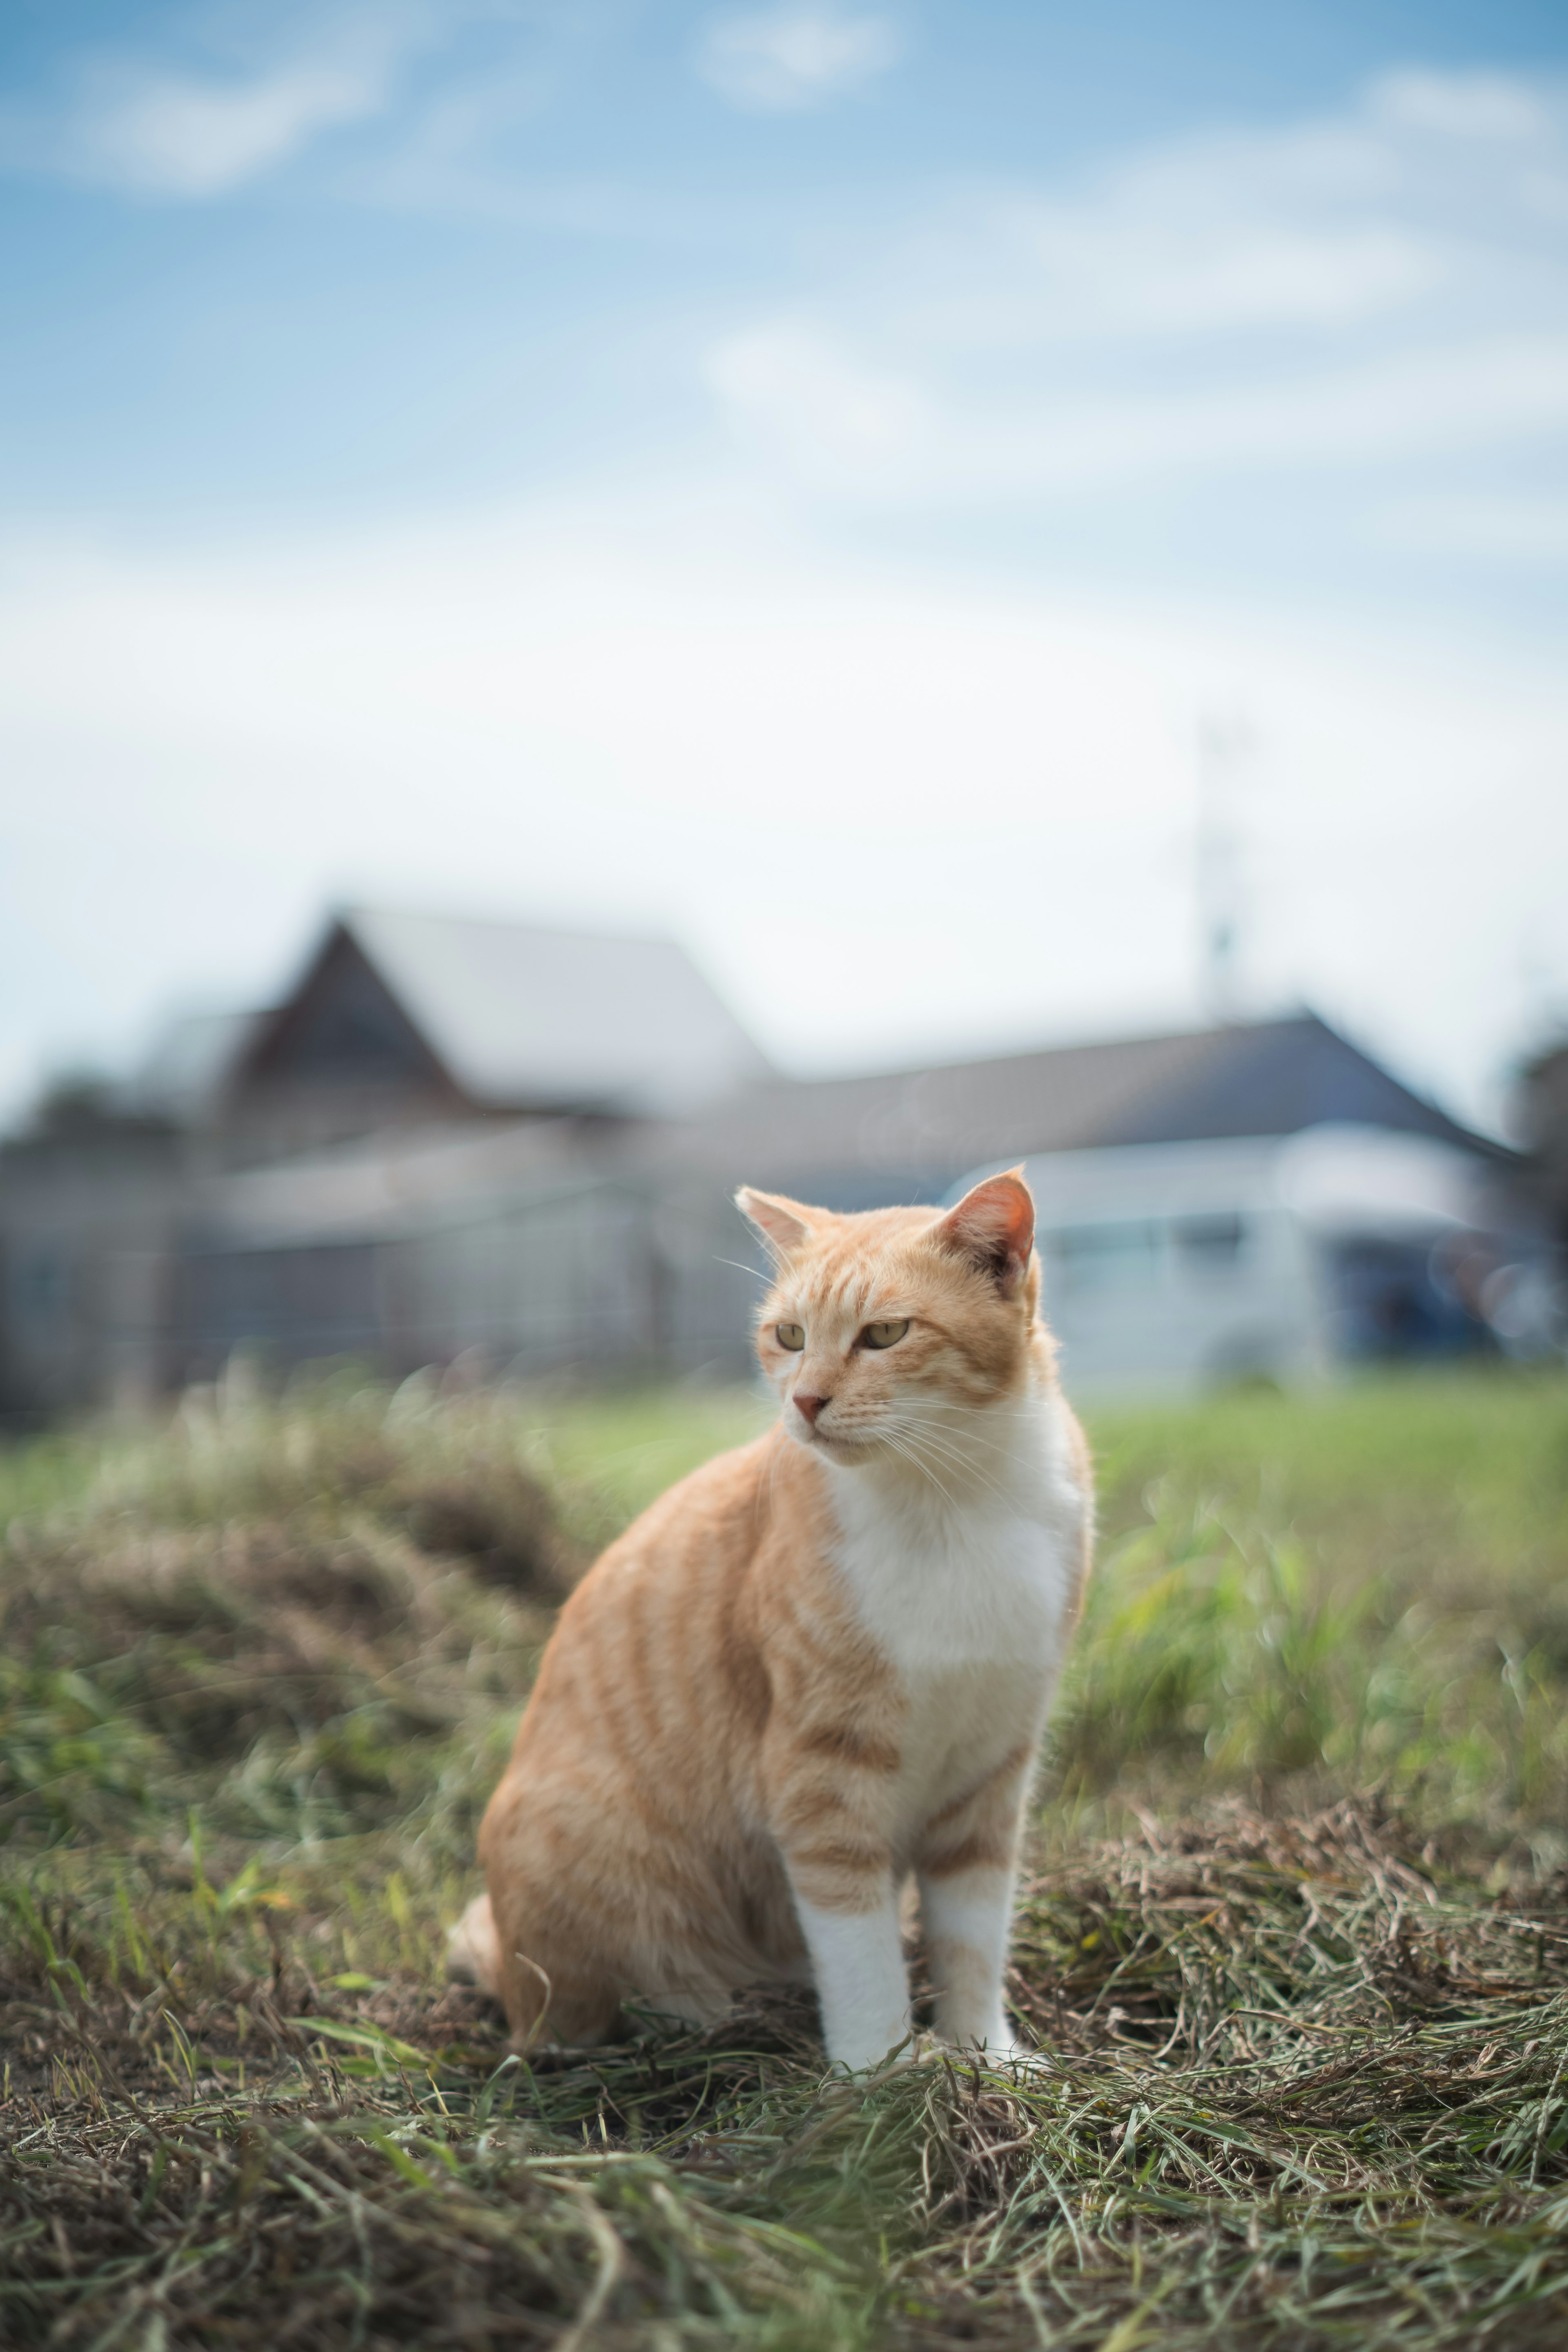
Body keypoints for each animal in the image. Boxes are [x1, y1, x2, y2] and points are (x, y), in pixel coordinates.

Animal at [454, 1166, 1091, 2069]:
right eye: (789, 1336)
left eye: (885, 1334)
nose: (807, 1400)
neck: (951, 1502)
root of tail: (507, 1974)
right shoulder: (819, 1776)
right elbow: (859, 1951)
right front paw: (879, 2072)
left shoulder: (992, 1771)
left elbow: (974, 1937)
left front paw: (983, 2056)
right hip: (582, 1857)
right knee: (604, 2009)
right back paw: (720, 2019)